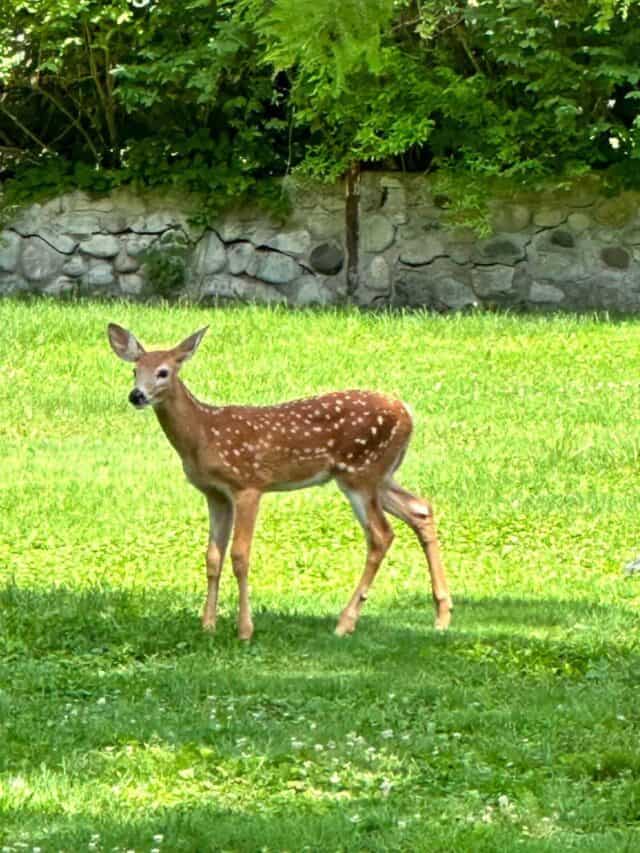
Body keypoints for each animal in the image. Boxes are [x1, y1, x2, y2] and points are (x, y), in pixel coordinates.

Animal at [107, 323, 452, 639]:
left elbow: (239, 556)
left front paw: (244, 630)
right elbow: (212, 557)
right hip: (379, 474)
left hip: (361, 473)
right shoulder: (214, 493)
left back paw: (345, 622)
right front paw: (207, 626)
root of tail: (408, 413)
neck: (203, 432)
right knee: (420, 509)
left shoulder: (248, 484)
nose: (136, 395)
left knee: (381, 535)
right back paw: (442, 615)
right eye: (135, 370)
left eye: (163, 372)